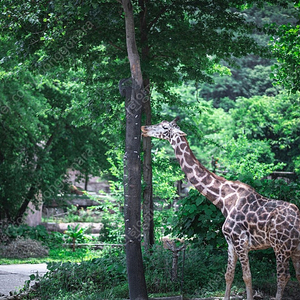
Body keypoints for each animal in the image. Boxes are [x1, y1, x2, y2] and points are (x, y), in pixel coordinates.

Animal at [142, 117, 300, 300]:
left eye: (164, 127)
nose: (144, 128)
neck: (224, 200)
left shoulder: (240, 241)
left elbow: (247, 276)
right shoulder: (230, 243)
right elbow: (229, 275)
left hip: (281, 247)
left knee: (283, 277)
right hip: (295, 248)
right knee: (297, 275)